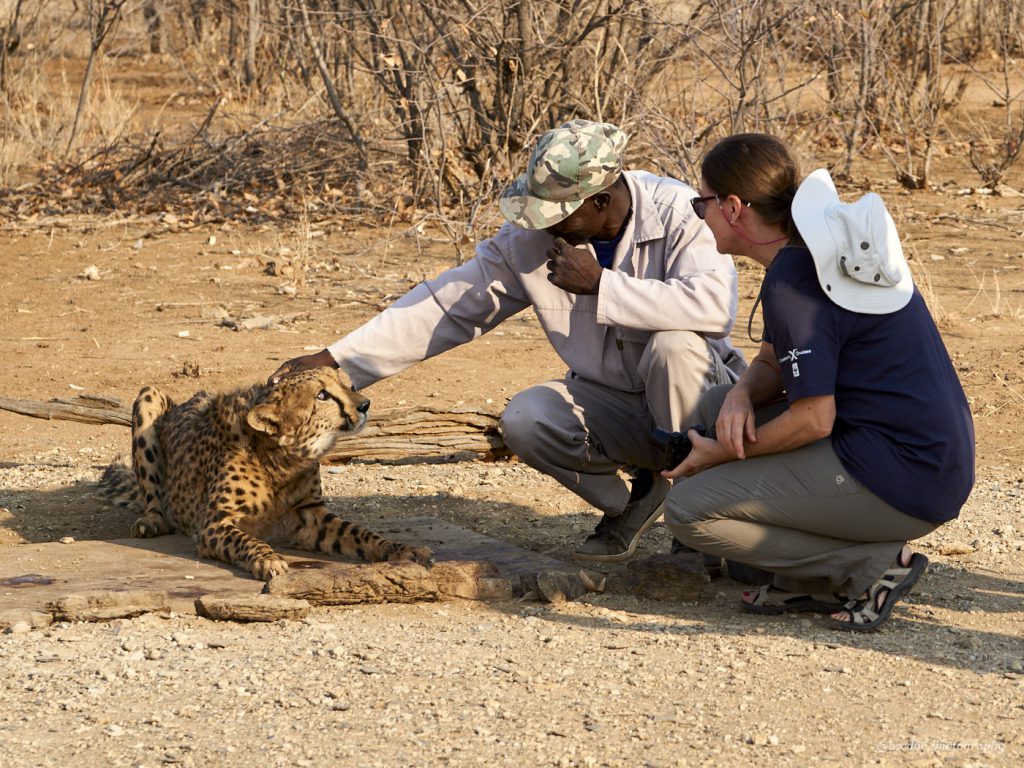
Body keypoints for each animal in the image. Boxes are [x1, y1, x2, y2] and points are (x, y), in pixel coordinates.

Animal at [103, 370, 436, 581]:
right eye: (322, 395)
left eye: (345, 384)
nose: (365, 404)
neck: (281, 459)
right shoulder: (214, 524)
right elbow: (245, 540)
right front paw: (268, 558)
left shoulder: (310, 515)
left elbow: (360, 533)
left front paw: (401, 550)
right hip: (148, 396)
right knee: (152, 497)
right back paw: (151, 520)